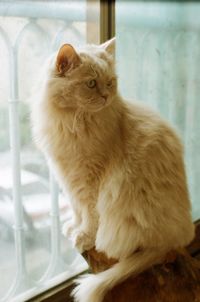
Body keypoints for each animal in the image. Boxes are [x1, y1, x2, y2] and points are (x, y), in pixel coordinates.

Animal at [30, 37, 194, 302]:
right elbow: (77, 210)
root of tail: (174, 239)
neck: (73, 124)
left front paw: (84, 237)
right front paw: (73, 228)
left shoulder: (89, 180)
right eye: (91, 83)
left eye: (109, 83)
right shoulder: (68, 178)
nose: (106, 96)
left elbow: (89, 215)